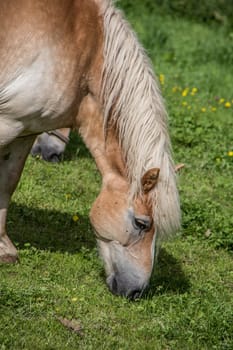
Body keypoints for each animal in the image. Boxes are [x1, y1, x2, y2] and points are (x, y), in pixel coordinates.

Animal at [0, 1, 180, 300]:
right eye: (141, 223)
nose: (136, 292)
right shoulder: (7, 123)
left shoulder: (24, 132)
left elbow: (8, 183)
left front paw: (4, 248)